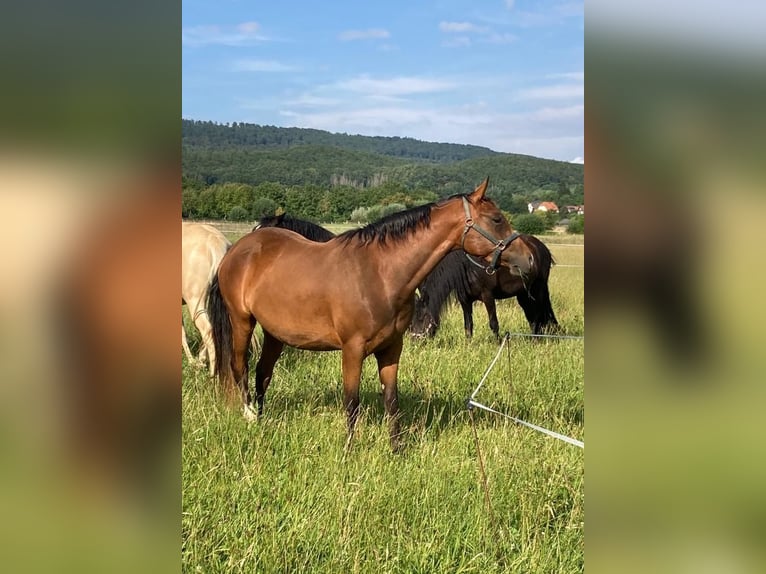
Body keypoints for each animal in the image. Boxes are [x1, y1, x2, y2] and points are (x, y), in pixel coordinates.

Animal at [208, 179, 536, 450]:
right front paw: (349, 451)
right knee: (240, 367)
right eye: (497, 219)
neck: (380, 274)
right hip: (242, 322)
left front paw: (397, 449)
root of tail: (238, 249)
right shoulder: (352, 350)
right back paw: (250, 416)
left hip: (275, 333)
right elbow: (351, 401)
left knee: (263, 374)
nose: (529, 258)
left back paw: (263, 420)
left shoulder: (391, 348)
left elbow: (391, 398)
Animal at [412, 235, 560, 340]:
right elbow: (468, 325)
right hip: (523, 293)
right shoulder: (465, 300)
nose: (414, 340)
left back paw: (536, 340)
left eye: (422, 318)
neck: (467, 267)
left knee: (537, 314)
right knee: (530, 314)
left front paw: (497, 343)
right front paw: (469, 345)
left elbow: (493, 323)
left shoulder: (488, 296)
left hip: (538, 289)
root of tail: (542, 247)